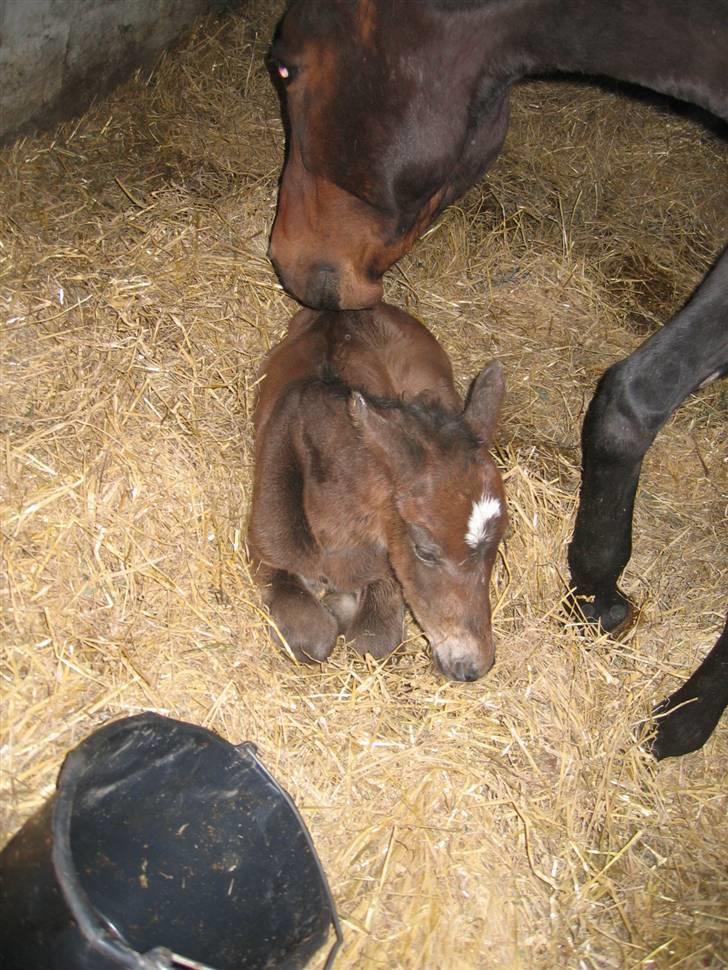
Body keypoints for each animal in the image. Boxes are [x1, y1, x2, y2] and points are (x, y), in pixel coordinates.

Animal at [246, 304, 506, 680]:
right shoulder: (265, 555)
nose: (474, 666)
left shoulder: (386, 571)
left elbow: (373, 641)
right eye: (424, 550)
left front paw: (341, 606)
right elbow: (310, 638)